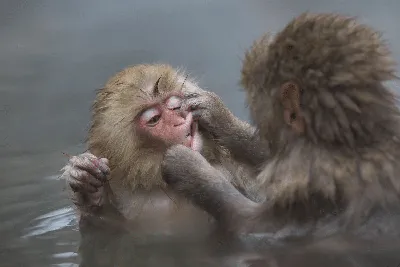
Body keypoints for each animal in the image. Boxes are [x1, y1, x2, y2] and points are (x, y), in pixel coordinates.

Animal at [60, 63, 266, 234]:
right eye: (154, 119)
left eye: (175, 106)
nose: (179, 121)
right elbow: (102, 226)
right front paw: (86, 184)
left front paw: (218, 116)